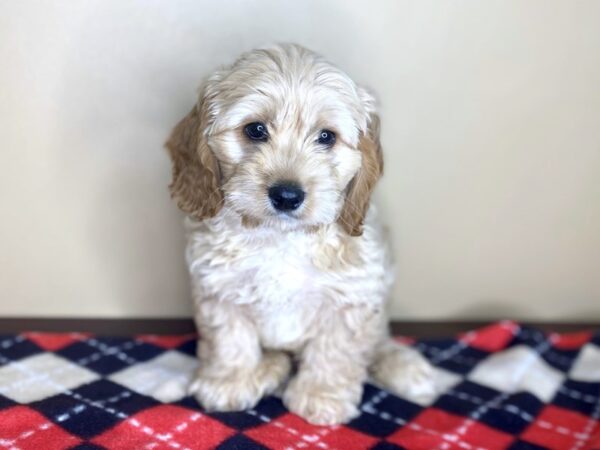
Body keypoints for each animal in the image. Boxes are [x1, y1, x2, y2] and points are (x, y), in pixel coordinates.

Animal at [166, 43, 434, 426]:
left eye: (326, 137)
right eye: (255, 130)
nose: (287, 195)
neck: (281, 238)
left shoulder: (351, 298)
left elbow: (334, 351)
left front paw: (321, 396)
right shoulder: (219, 291)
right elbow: (230, 339)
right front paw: (230, 381)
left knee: (378, 341)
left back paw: (404, 367)